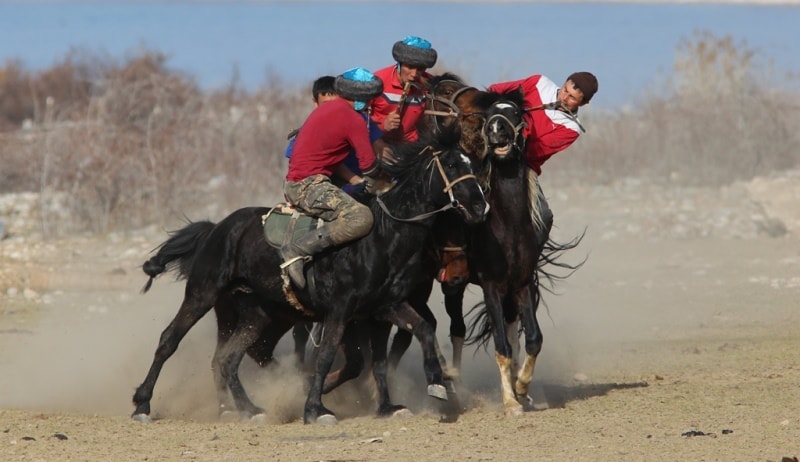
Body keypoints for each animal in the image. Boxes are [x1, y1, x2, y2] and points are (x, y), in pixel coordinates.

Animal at [130, 128, 488, 424]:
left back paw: (246, 409)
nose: (479, 206)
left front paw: (411, 396)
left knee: (228, 359)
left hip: (252, 313)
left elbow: (405, 343)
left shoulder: (383, 310)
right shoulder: (341, 311)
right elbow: (327, 356)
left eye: (471, 162)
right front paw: (315, 409)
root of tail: (216, 228)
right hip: (203, 294)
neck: (382, 236)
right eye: (452, 164)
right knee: (170, 340)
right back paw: (142, 404)